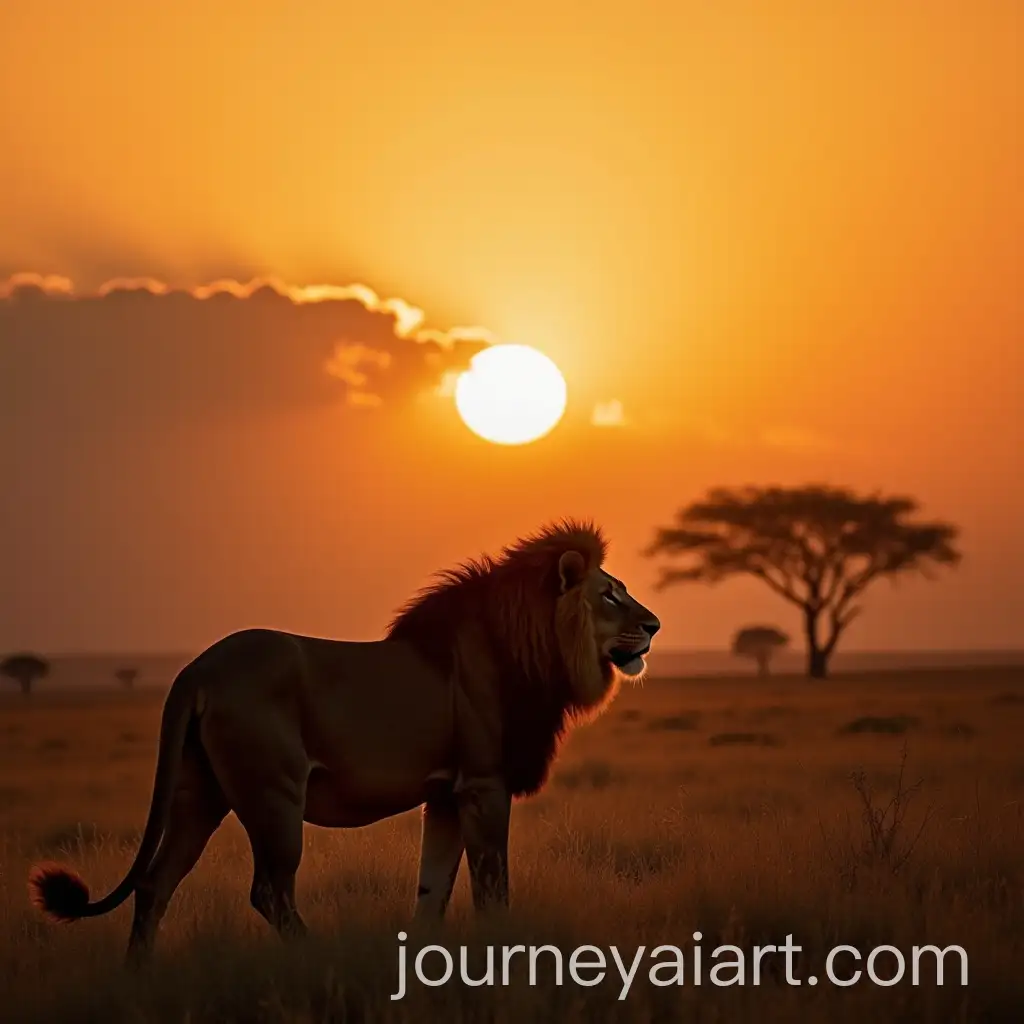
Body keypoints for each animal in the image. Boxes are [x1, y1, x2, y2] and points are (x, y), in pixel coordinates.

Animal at [28, 519, 660, 966]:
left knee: (155, 884)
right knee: (269, 892)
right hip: (274, 795)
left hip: (198, 794)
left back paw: (137, 979)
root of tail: (197, 670)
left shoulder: (445, 795)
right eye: (609, 595)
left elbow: (432, 890)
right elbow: (491, 889)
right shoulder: (483, 785)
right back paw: (318, 957)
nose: (654, 626)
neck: (534, 653)